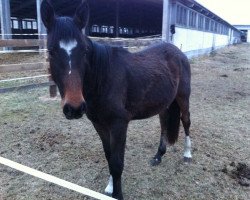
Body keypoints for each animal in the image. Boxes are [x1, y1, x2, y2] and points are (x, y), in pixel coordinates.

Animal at [40, 0, 191, 199]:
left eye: (84, 50)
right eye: (51, 51)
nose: (74, 108)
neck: (103, 78)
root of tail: (178, 52)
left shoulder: (119, 124)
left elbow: (117, 163)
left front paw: (117, 193)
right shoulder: (99, 124)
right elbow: (109, 156)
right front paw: (110, 187)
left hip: (183, 97)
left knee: (186, 121)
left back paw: (188, 154)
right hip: (164, 104)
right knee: (164, 124)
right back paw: (158, 156)